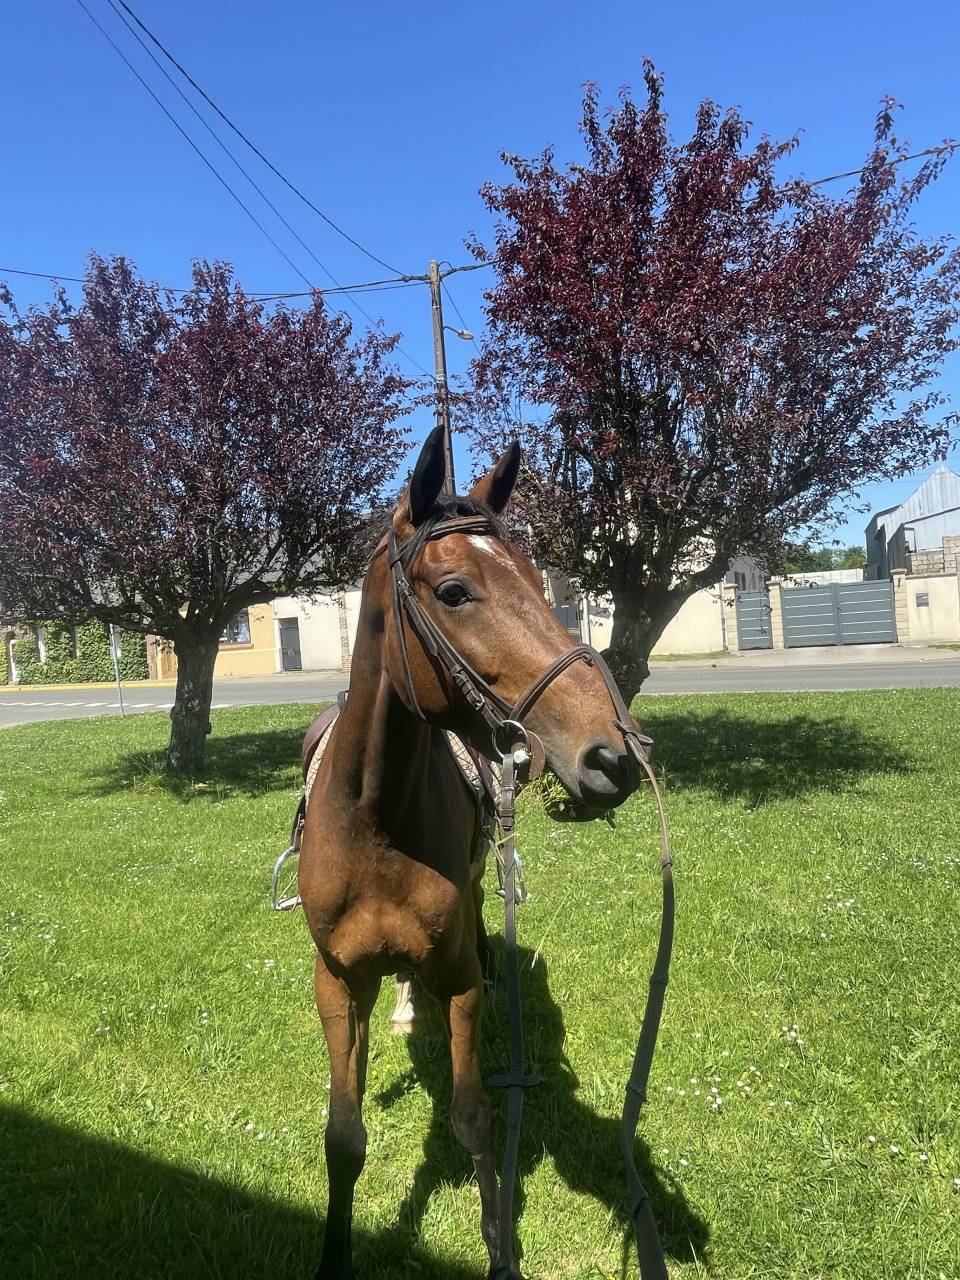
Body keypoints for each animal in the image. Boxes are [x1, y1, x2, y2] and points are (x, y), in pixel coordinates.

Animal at [297, 425, 644, 1279]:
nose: (612, 759)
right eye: (454, 591)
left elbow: (475, 1118)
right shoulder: (336, 981)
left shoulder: (453, 979)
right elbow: (343, 1135)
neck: (376, 822)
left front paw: (499, 1250)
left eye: (539, 579)